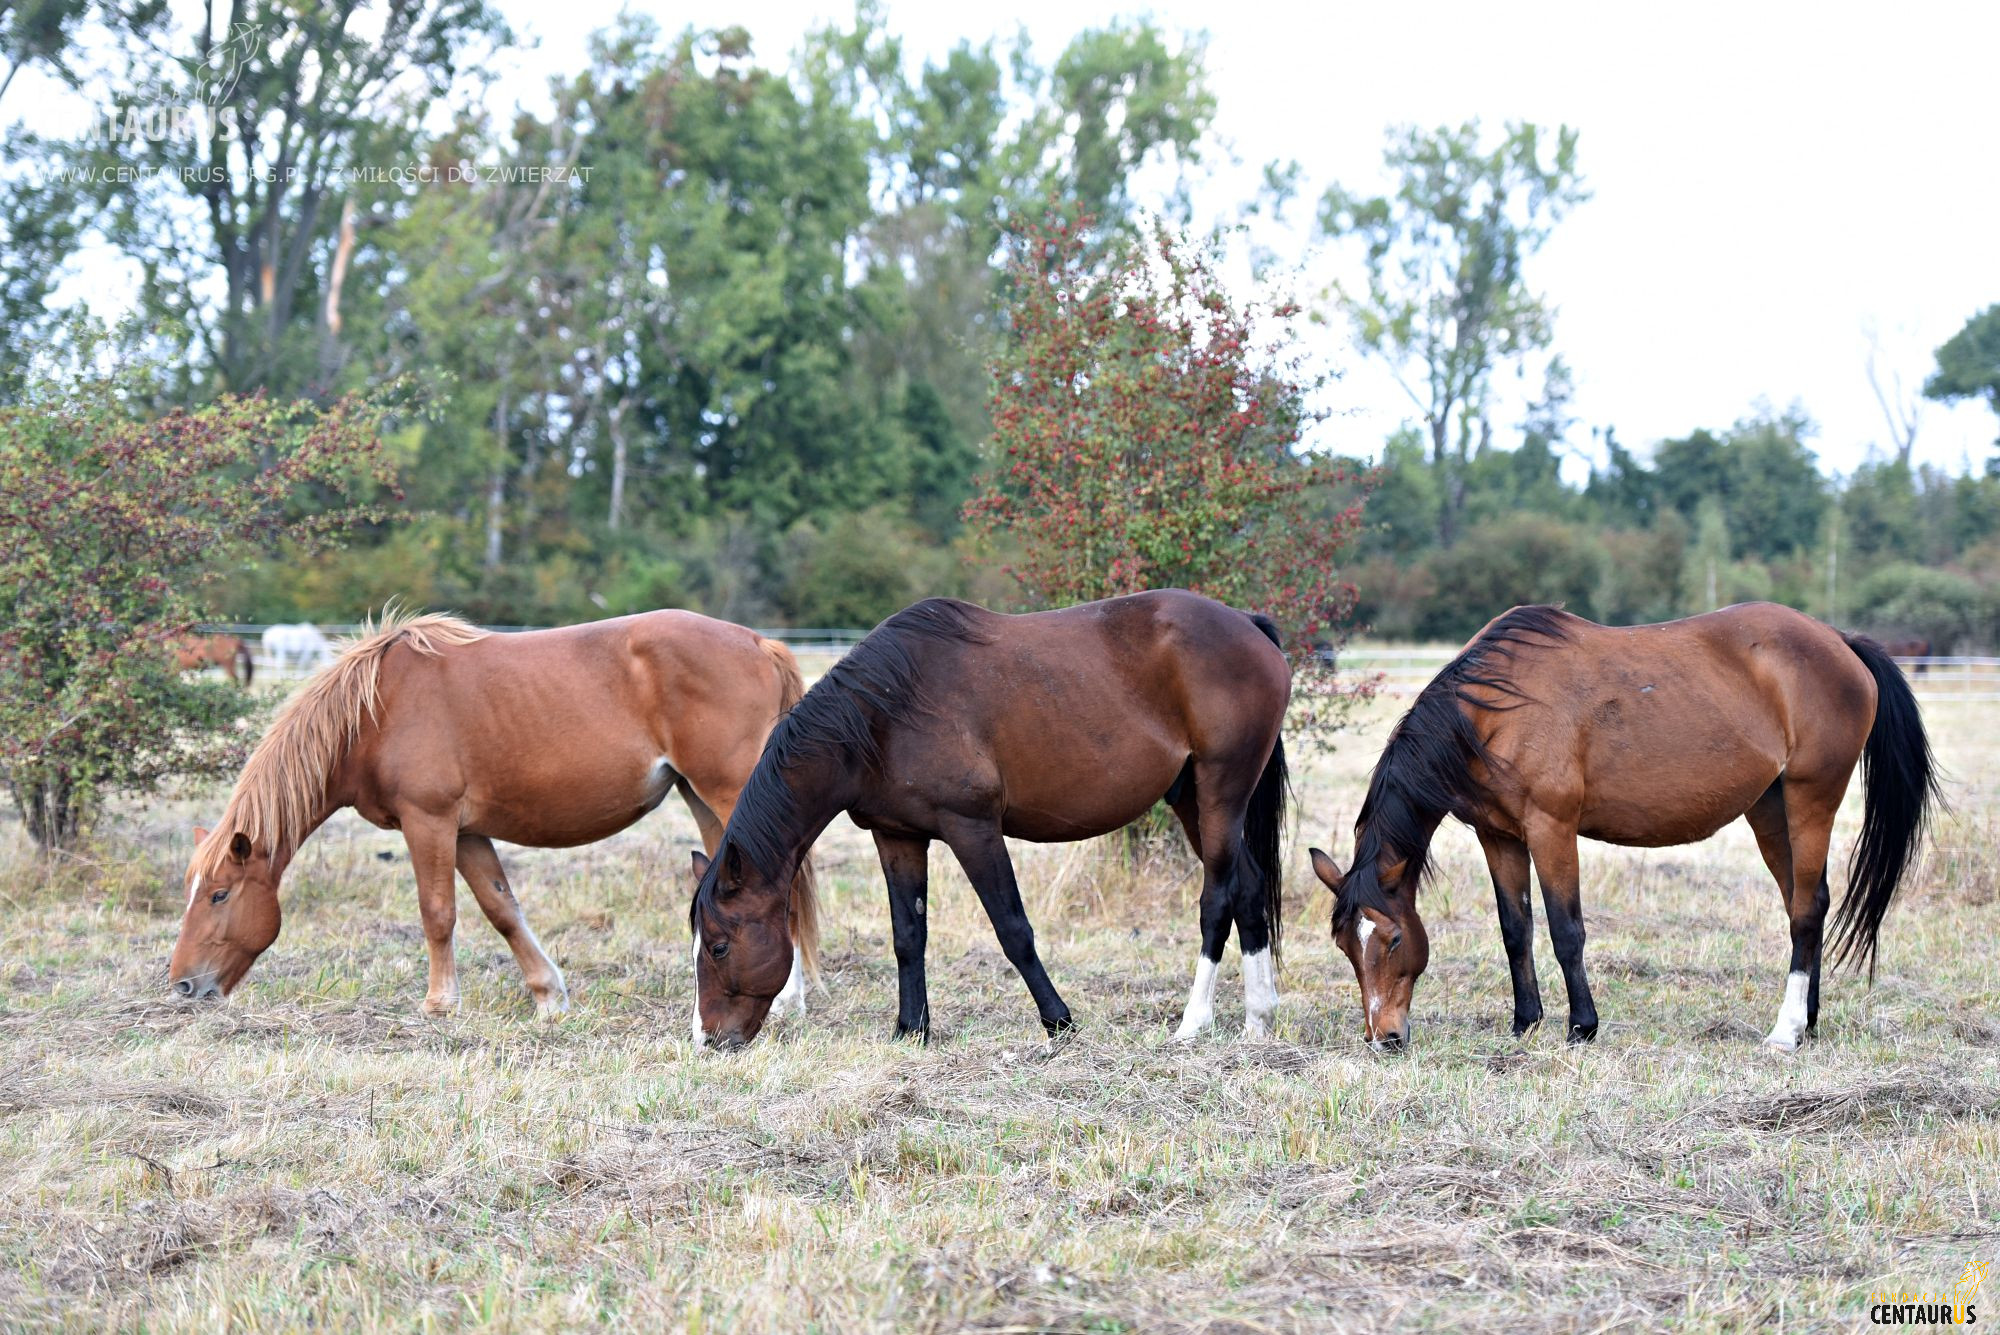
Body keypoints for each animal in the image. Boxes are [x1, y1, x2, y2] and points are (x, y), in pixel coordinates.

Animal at [164, 611, 816, 1015]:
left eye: (219, 895)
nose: (183, 985)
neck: (375, 712)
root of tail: (757, 642)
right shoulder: (467, 833)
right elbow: (502, 909)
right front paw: (549, 996)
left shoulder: (428, 822)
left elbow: (438, 913)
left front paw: (439, 1003)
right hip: (703, 797)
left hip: (728, 789)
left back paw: (785, 999)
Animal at [680, 595, 1288, 1055]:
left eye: (718, 947)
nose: (708, 1040)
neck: (885, 714)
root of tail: (1247, 625)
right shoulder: (897, 836)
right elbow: (909, 935)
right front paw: (911, 1029)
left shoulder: (972, 829)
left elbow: (1012, 929)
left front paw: (1060, 1022)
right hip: (1192, 798)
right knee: (1249, 886)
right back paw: (1259, 1019)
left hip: (1222, 790)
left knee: (1217, 898)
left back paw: (1193, 1023)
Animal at [1312, 603, 1936, 1055]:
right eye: (1346, 945)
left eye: (1394, 939)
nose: (1385, 1039)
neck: (1489, 711)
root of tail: (1840, 641)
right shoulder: (1500, 837)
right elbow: (1516, 930)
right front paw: (1524, 1022)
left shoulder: (1552, 828)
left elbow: (1566, 930)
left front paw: (1581, 1027)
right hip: (1769, 808)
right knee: (1803, 904)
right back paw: (1808, 1020)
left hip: (1812, 797)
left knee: (1807, 908)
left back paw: (1785, 1033)